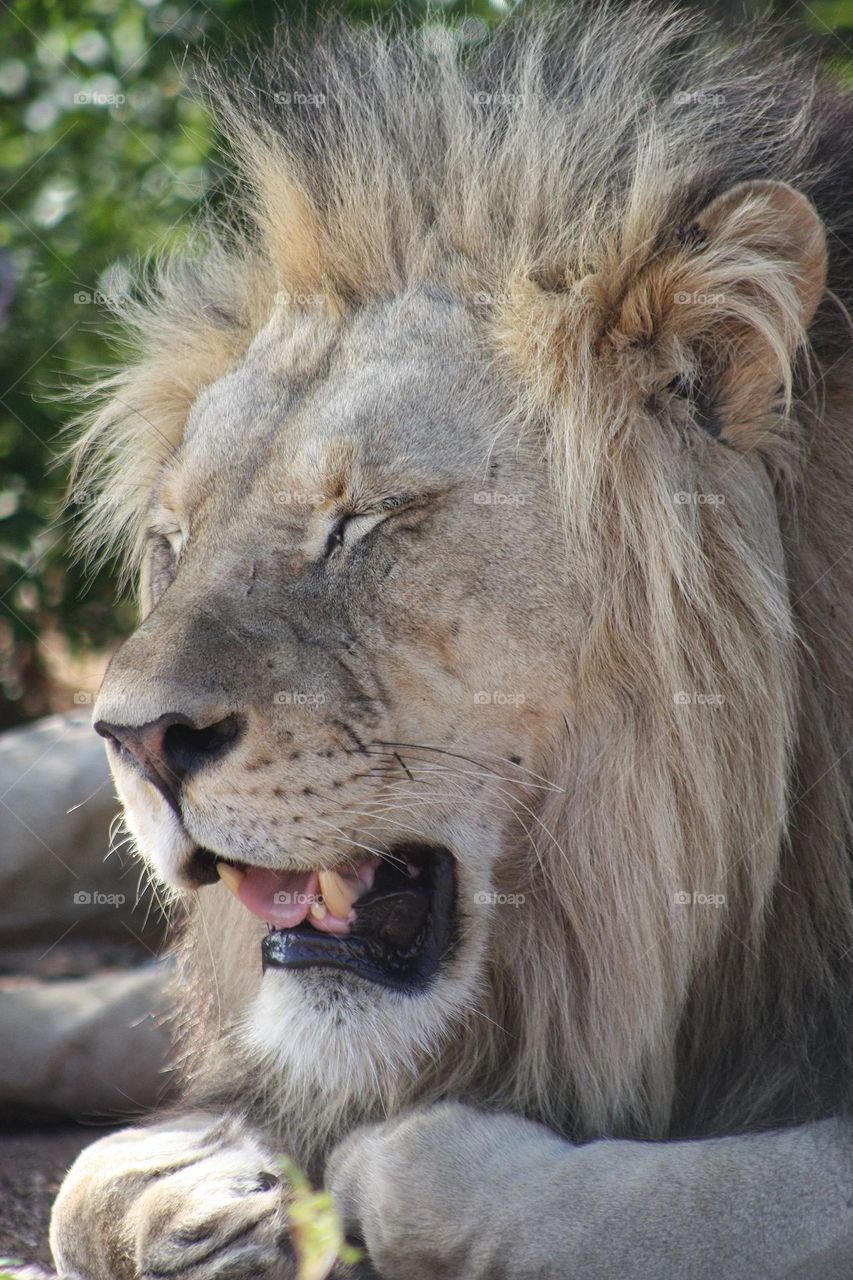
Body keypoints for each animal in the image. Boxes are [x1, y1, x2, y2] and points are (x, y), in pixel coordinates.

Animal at [50, 4, 853, 1278]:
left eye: (364, 520)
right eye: (173, 541)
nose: (131, 739)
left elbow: (681, 1199)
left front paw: (361, 1175)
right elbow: (79, 1180)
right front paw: (199, 1186)